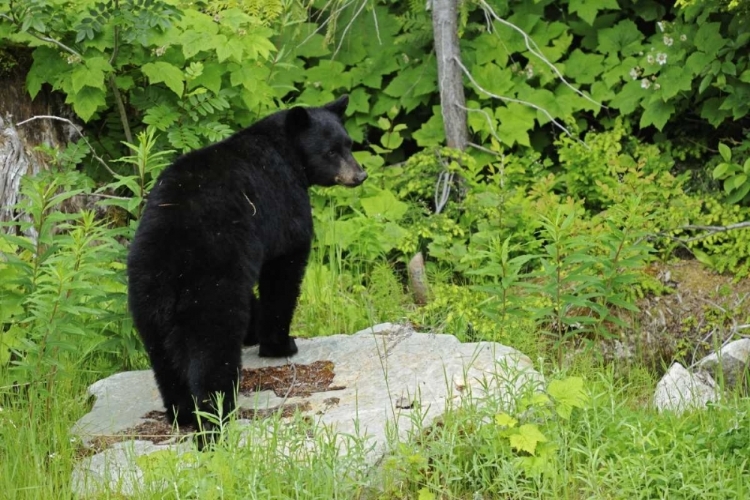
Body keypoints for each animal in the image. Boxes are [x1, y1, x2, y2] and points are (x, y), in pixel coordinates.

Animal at [127, 96, 368, 430]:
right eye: (331, 151)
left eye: (349, 144)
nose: (359, 175)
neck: (285, 152)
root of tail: (170, 260)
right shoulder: (283, 203)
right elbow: (283, 271)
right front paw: (280, 344)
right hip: (211, 290)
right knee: (213, 353)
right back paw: (217, 417)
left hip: (147, 300)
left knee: (164, 360)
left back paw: (183, 413)